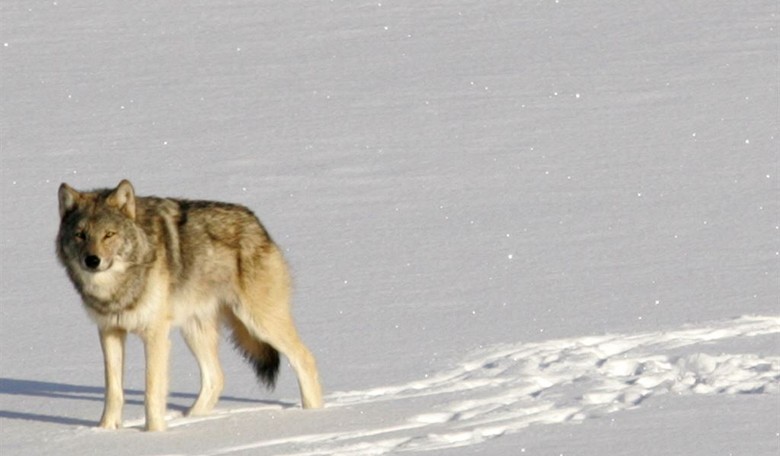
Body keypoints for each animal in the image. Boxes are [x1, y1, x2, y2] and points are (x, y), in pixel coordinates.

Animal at [56, 179, 323, 431]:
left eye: (109, 234)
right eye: (80, 235)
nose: (92, 260)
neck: (116, 288)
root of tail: (257, 223)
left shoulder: (155, 336)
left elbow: (152, 391)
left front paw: (154, 433)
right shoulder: (109, 332)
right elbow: (113, 391)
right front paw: (105, 430)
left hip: (260, 323)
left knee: (305, 358)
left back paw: (314, 413)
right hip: (195, 330)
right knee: (216, 378)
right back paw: (191, 418)